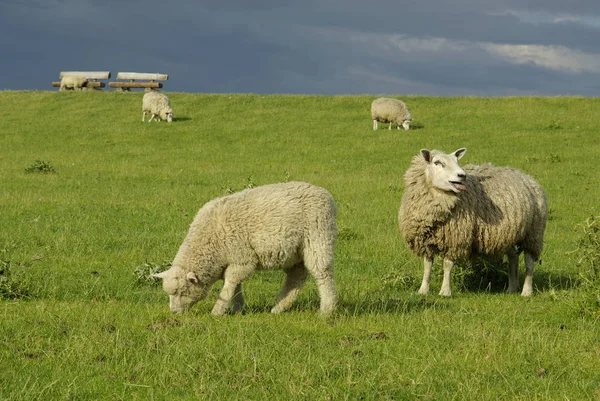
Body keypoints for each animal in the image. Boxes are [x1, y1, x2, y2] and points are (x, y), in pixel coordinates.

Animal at [152, 181, 338, 316]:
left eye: (182, 292)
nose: (174, 313)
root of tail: (324, 193)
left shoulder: (242, 259)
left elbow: (230, 283)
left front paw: (218, 311)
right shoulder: (232, 261)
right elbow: (235, 285)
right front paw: (236, 308)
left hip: (318, 238)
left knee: (323, 273)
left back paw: (326, 310)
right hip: (294, 252)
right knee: (297, 276)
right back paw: (279, 307)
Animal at [398, 148, 548, 296]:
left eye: (457, 161)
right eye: (438, 162)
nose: (462, 175)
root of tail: (526, 177)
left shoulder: (456, 238)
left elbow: (447, 264)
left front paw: (445, 291)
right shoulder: (425, 240)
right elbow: (427, 265)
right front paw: (423, 290)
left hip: (533, 233)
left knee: (529, 262)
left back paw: (526, 291)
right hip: (509, 233)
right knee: (513, 257)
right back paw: (511, 288)